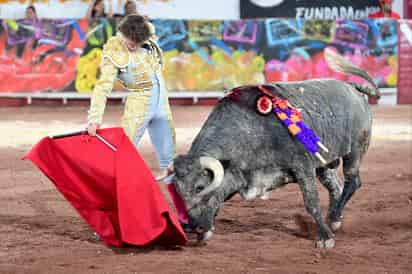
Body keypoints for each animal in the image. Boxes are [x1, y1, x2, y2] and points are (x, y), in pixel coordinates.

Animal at [170, 49, 380, 248]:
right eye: (178, 191)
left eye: (200, 187)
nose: (190, 226)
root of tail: (352, 87)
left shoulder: (302, 165)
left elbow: (311, 202)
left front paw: (324, 238)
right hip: (324, 163)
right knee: (336, 187)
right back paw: (334, 218)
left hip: (355, 150)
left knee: (352, 182)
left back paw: (334, 219)